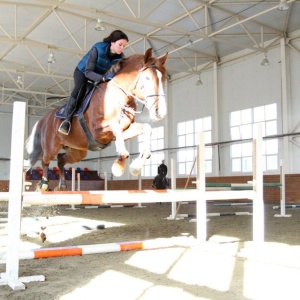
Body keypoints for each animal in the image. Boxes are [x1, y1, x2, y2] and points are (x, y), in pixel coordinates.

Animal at [25, 48, 169, 191]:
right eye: (147, 78)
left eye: (162, 79)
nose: (160, 112)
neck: (118, 97)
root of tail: (44, 118)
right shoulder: (97, 130)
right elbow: (116, 127)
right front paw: (119, 165)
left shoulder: (124, 130)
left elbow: (146, 128)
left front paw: (136, 166)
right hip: (51, 147)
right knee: (45, 161)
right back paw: (44, 184)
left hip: (78, 150)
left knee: (60, 159)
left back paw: (62, 185)